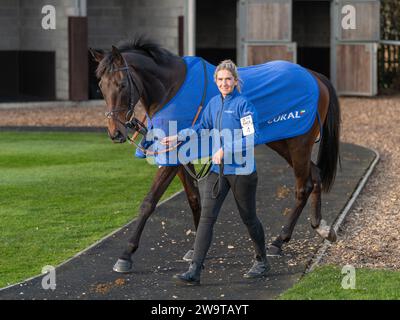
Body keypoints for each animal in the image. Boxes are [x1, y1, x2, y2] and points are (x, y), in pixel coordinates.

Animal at [89, 37, 340, 272]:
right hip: (282, 140)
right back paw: (319, 226)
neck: (172, 89)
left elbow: (149, 202)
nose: (115, 132)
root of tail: (314, 75)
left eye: (122, 84)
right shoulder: (179, 154)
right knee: (315, 174)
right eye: (101, 85)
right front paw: (196, 248)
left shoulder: (171, 157)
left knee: (303, 186)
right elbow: (194, 198)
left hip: (299, 143)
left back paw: (280, 241)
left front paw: (126, 255)